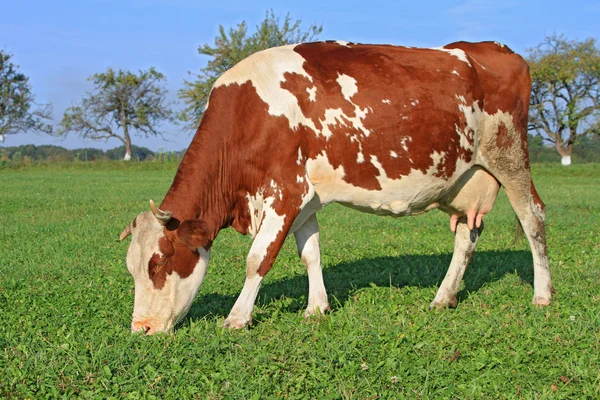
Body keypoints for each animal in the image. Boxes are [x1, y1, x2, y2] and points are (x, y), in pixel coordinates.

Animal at [118, 41, 552, 334]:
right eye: (131, 267)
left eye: (159, 262)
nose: (141, 328)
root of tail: (492, 49)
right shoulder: (306, 199)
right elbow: (310, 253)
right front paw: (317, 308)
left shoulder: (285, 192)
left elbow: (258, 259)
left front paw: (237, 318)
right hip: (465, 179)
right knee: (467, 235)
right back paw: (443, 298)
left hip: (510, 157)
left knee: (533, 220)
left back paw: (542, 295)